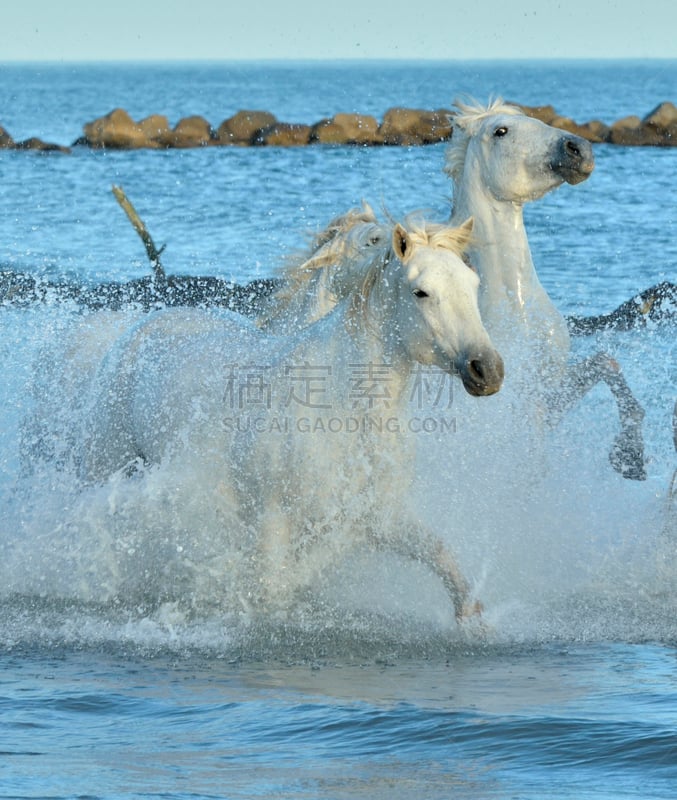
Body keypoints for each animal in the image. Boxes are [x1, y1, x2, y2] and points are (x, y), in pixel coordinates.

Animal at [46, 216, 502, 620]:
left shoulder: (379, 517)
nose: (488, 370)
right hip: (107, 468)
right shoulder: (273, 522)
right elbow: (271, 591)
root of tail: (139, 329)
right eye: (420, 292)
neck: (340, 411)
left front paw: (474, 622)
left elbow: (443, 560)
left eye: (473, 284)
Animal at [444, 96, 644, 478]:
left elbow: (607, 362)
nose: (579, 149)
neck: (516, 307)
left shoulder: (544, 397)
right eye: (501, 131)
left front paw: (631, 454)